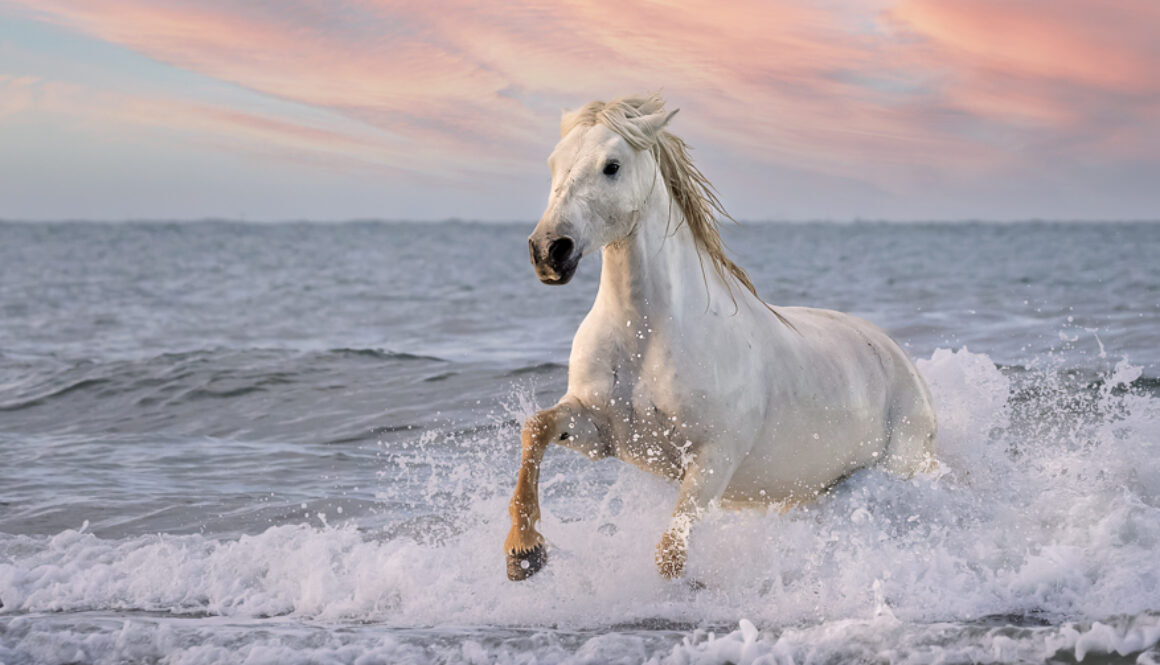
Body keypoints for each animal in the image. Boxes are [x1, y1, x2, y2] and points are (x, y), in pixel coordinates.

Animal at [504, 94, 937, 581]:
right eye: (553, 163)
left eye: (611, 166)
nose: (548, 251)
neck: (648, 334)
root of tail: (907, 366)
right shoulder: (601, 433)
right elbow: (536, 428)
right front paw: (524, 552)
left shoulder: (713, 459)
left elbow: (670, 556)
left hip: (896, 466)